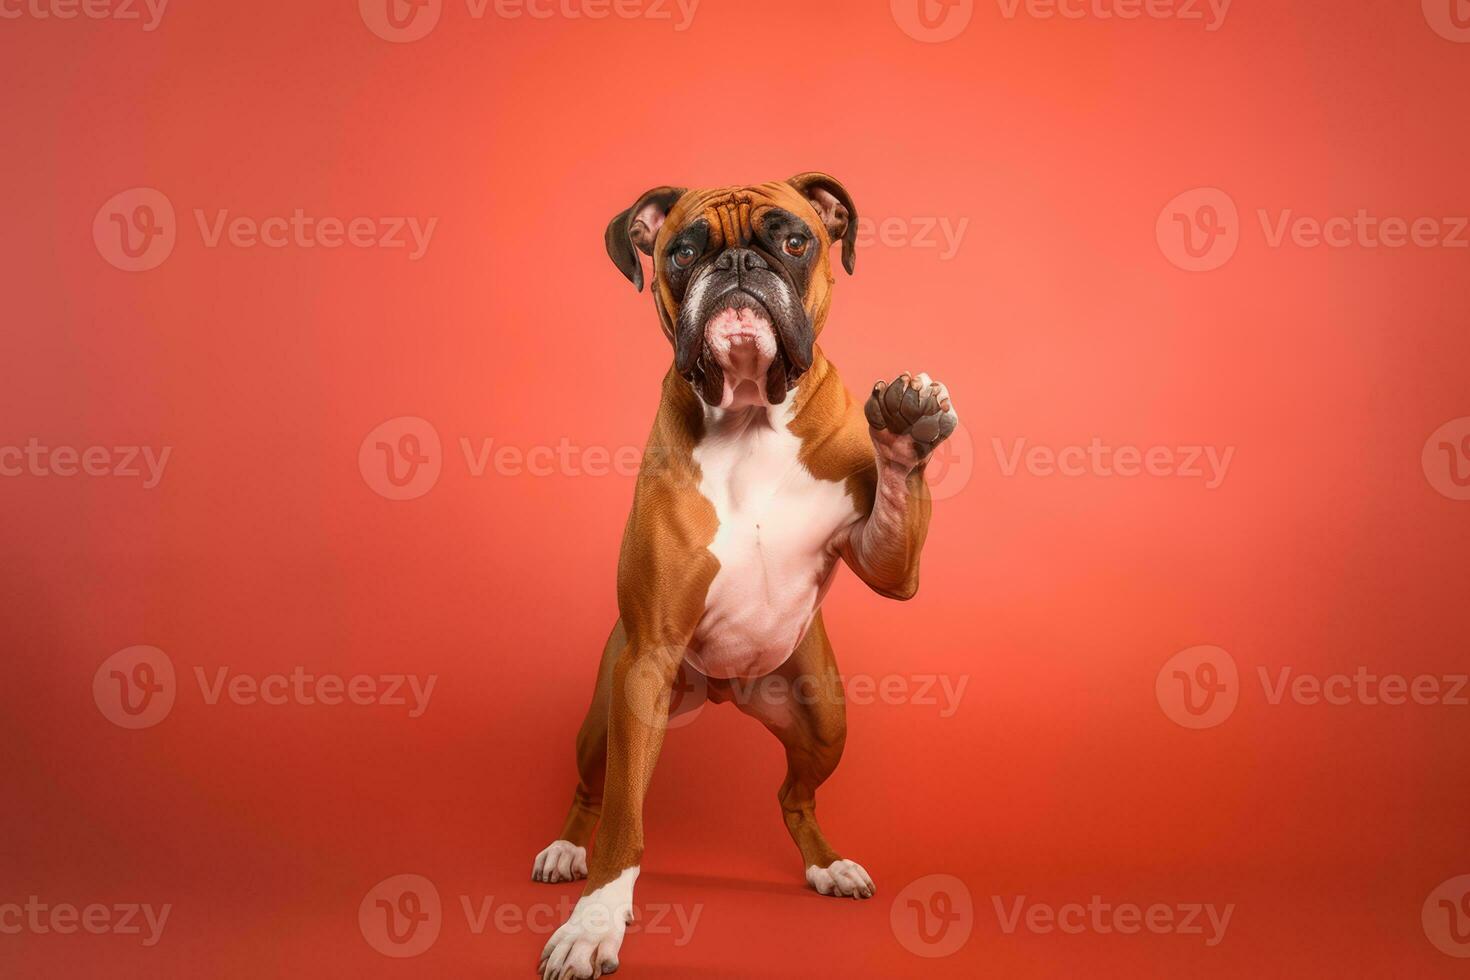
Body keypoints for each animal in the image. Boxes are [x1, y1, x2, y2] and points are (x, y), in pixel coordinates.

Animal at [535, 172, 958, 975]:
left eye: (793, 240)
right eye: (682, 252)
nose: (735, 265)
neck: (751, 415)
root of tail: (725, 690)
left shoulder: (887, 562)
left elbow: (893, 517)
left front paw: (902, 430)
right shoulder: (647, 659)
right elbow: (625, 825)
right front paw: (594, 922)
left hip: (825, 720)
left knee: (795, 796)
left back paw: (827, 864)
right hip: (613, 714)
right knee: (594, 791)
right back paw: (568, 849)